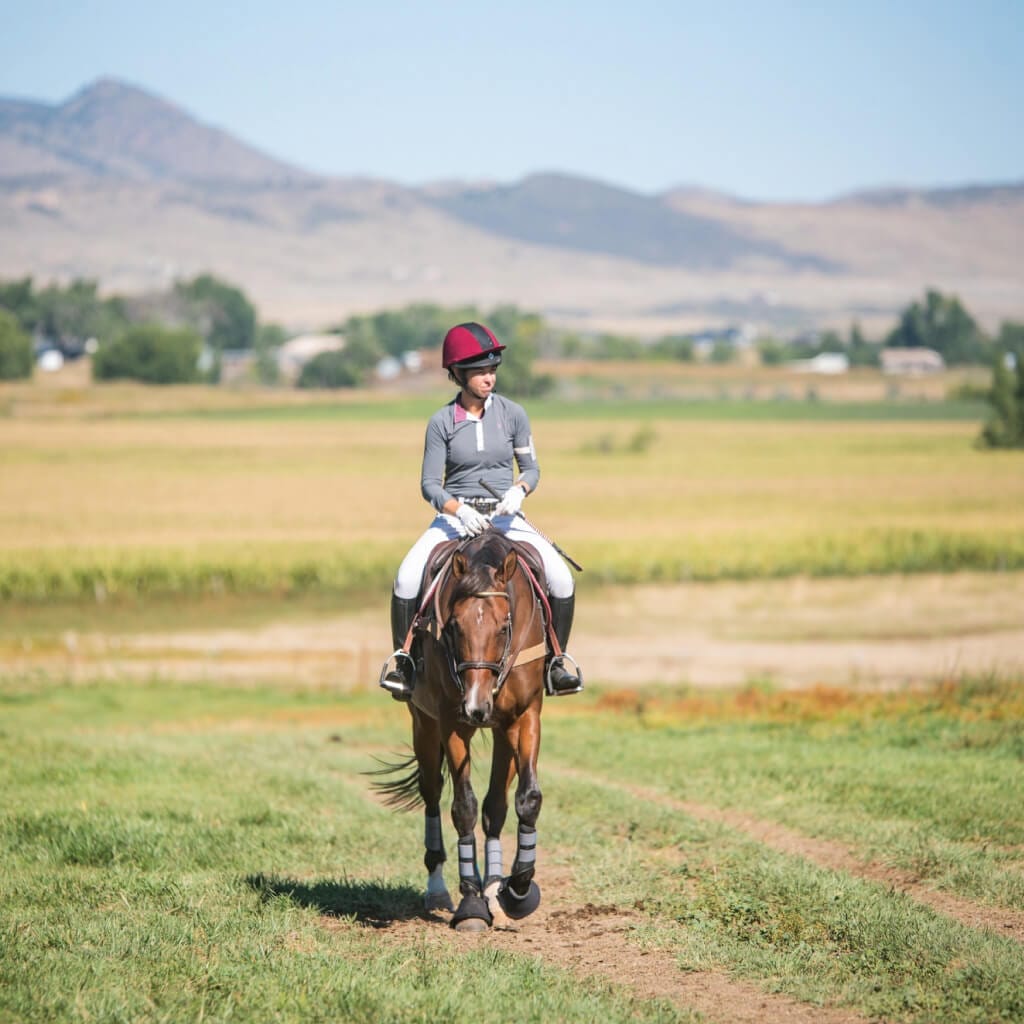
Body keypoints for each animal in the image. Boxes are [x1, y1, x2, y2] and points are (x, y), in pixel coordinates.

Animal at [373, 531, 550, 931]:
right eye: (454, 627)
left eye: (504, 627)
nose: (476, 706)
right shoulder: (452, 723)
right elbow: (463, 807)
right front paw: (470, 904)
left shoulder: (524, 717)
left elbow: (527, 799)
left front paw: (517, 892)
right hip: (423, 723)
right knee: (432, 792)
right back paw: (438, 889)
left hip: (502, 731)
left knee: (496, 806)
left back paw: (495, 890)